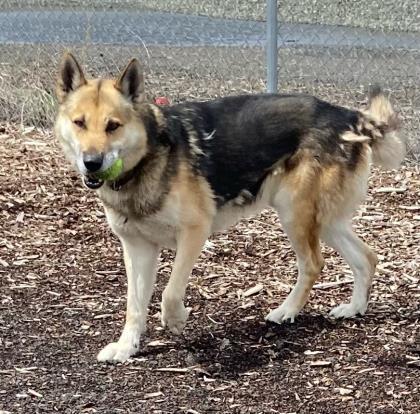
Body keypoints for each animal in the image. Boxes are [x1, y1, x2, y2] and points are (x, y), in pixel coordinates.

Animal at [54, 53, 406, 360]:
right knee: (367, 258)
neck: (145, 160)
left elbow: (170, 293)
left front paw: (176, 320)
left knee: (314, 264)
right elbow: (135, 305)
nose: (92, 163)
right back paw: (354, 308)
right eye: (79, 123)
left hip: (294, 213)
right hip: (324, 220)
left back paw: (287, 311)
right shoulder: (137, 248)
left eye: (113, 125)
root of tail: (349, 115)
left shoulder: (194, 232)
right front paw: (127, 348)